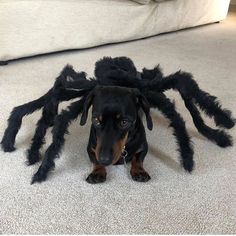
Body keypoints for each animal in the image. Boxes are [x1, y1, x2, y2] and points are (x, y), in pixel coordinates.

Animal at [1, 56, 234, 183]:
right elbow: (56, 114)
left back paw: (223, 128)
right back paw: (28, 149)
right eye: (96, 121)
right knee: (47, 98)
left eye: (125, 122)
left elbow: (182, 102)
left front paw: (189, 157)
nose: (106, 158)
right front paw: (40, 168)